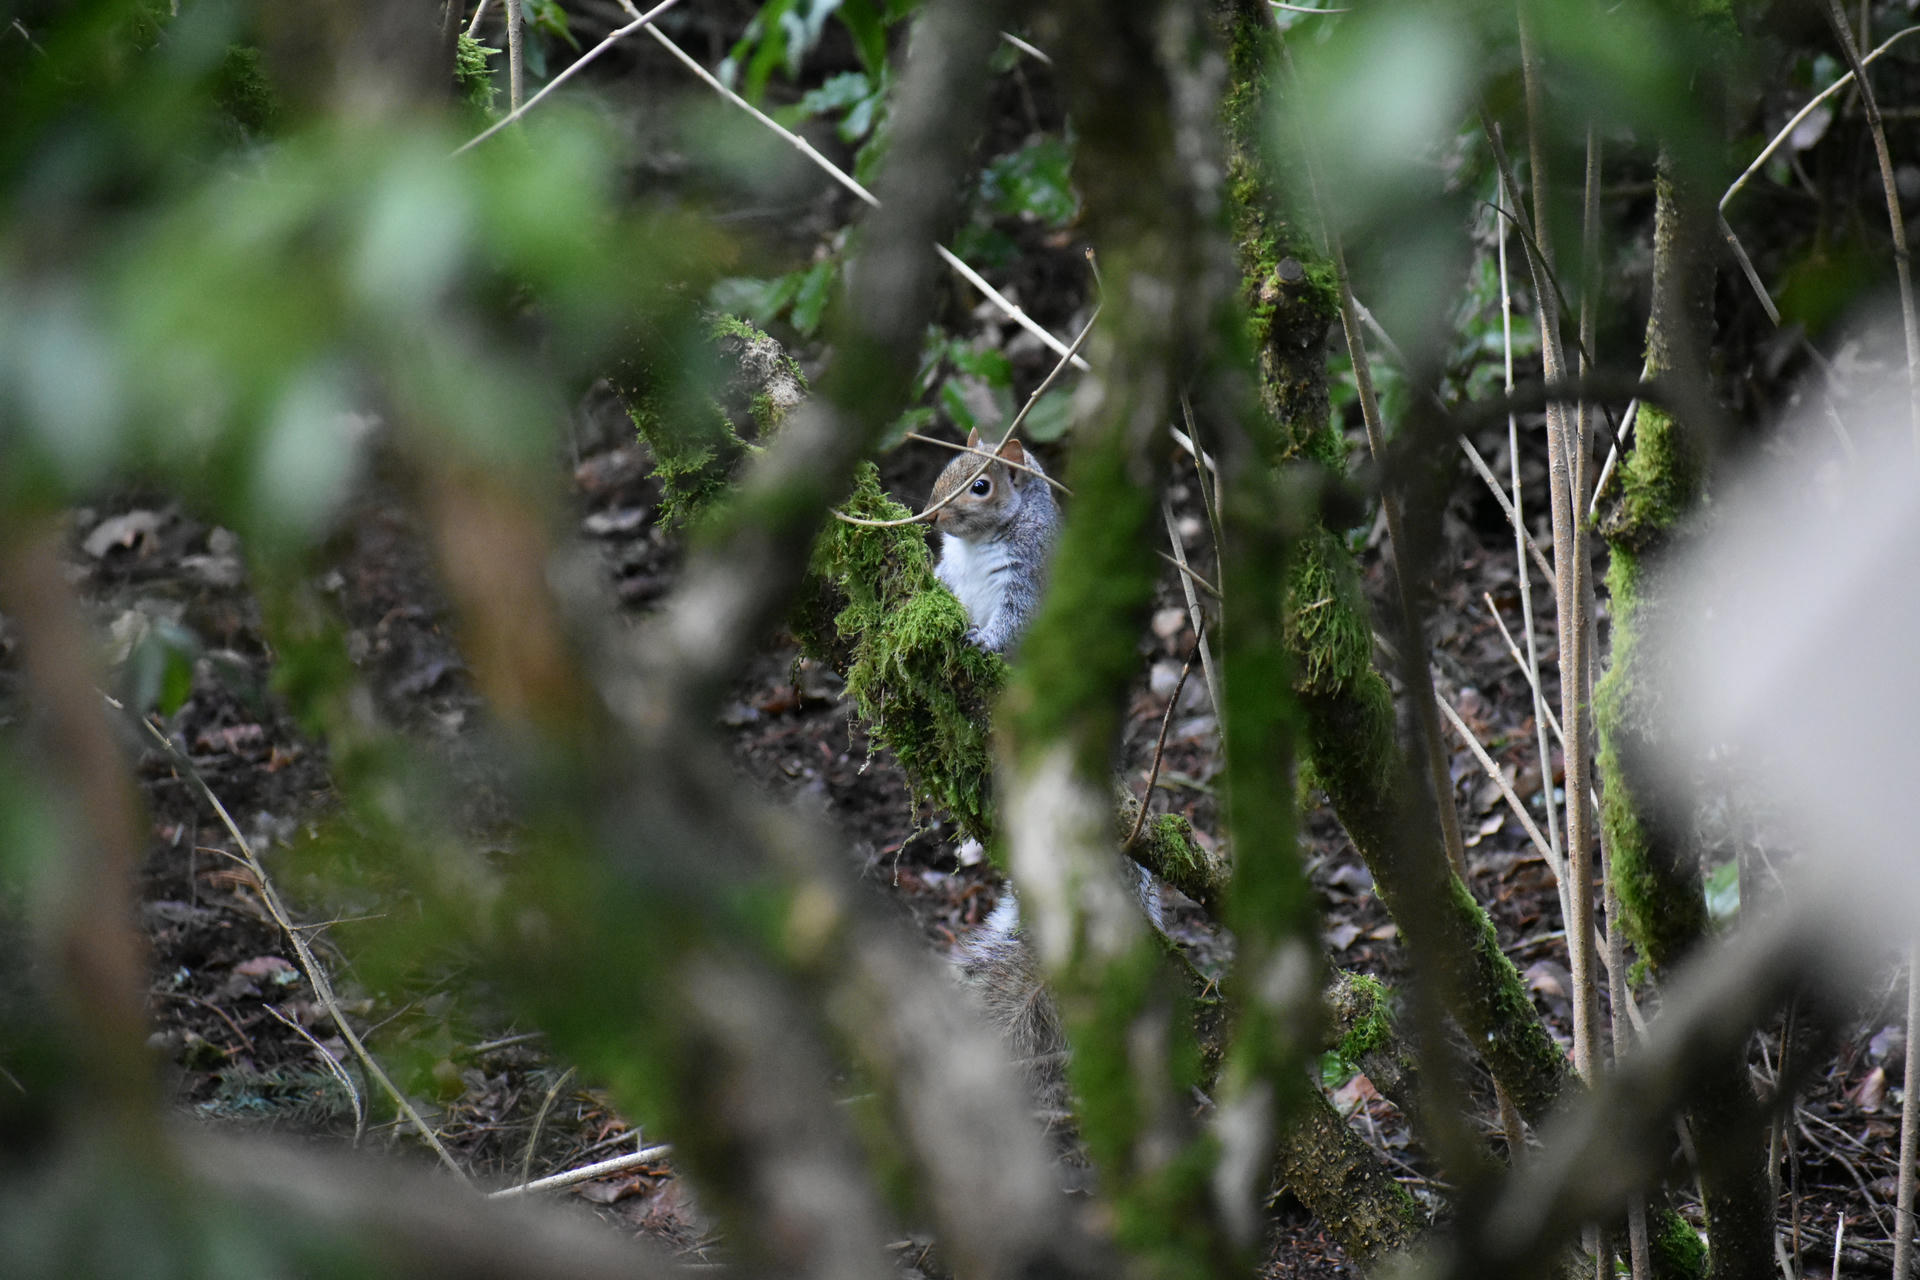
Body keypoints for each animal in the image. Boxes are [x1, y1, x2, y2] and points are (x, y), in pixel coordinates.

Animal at [921, 429, 1059, 655]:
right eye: (947, 469)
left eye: (980, 486)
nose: (929, 514)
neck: (976, 541)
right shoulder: (951, 565)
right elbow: (943, 577)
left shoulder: (1031, 567)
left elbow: (1018, 614)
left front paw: (984, 639)